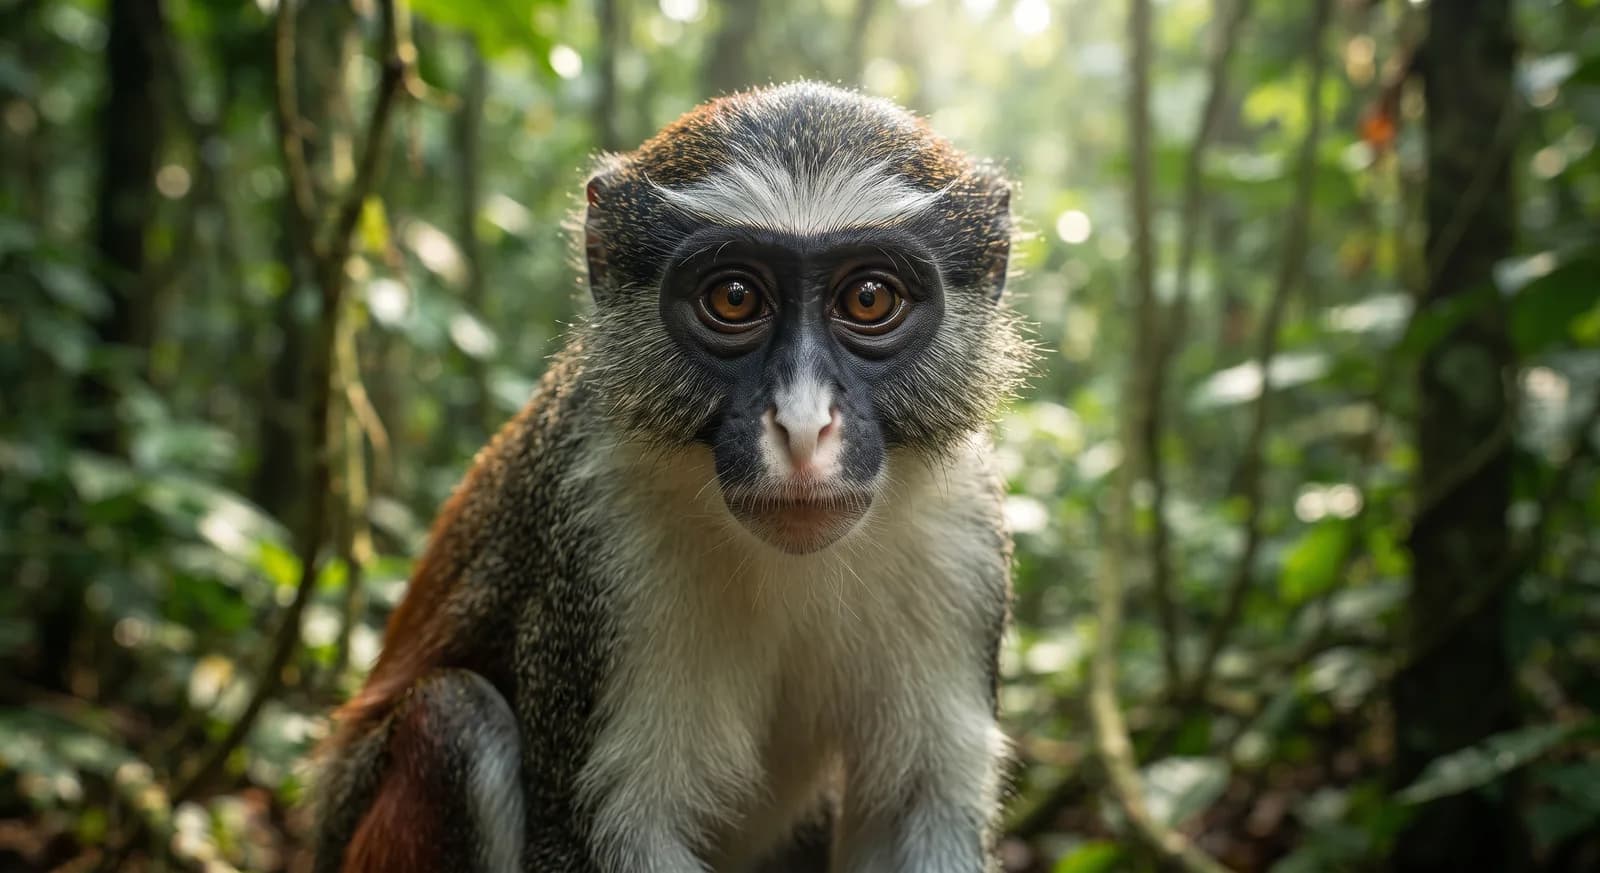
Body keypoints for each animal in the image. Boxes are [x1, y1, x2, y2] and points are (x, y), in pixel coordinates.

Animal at [311, 81, 1032, 873]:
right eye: (735, 298)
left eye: (869, 298)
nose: (803, 426)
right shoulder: (596, 541)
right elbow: (596, 834)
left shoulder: (964, 537)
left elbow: (919, 814)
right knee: (454, 719)